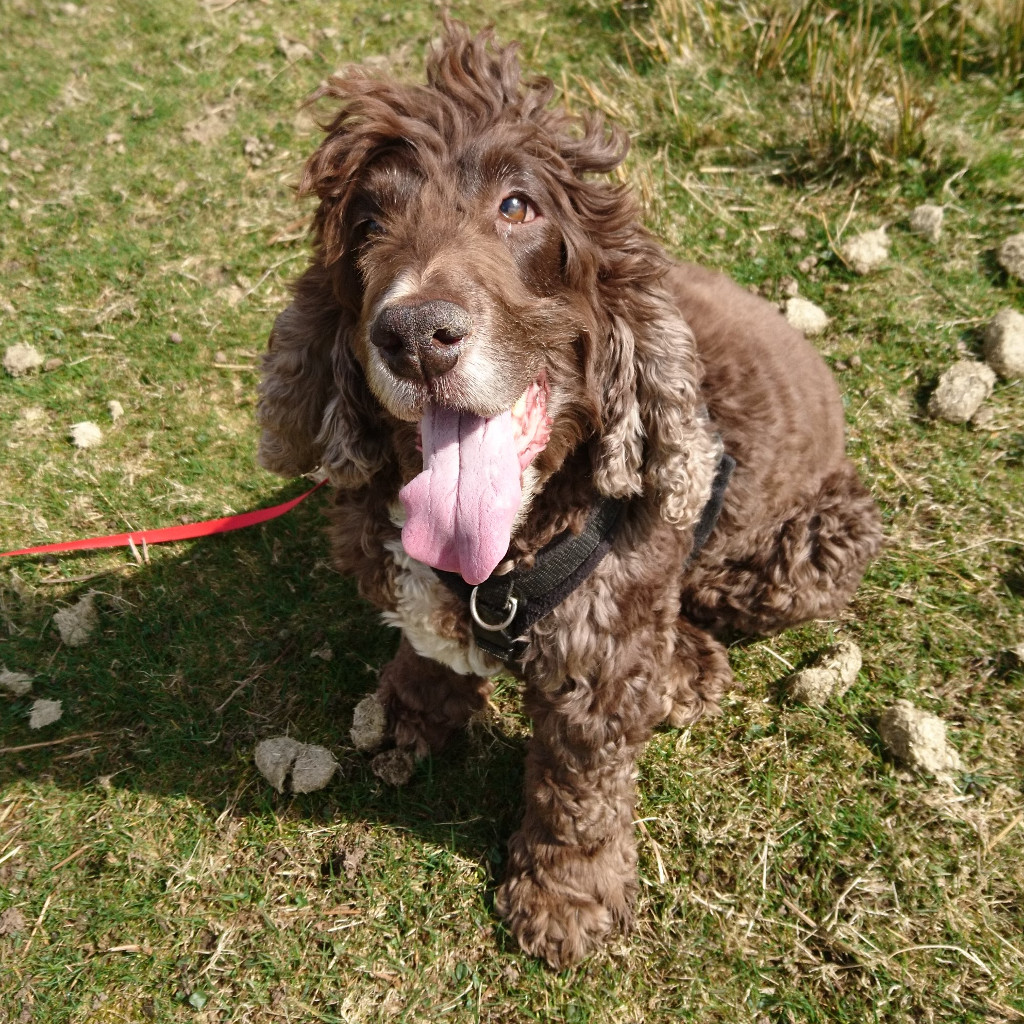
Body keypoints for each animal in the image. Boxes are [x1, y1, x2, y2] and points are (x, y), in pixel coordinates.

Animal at [253, 24, 880, 966]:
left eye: (518, 208)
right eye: (367, 224)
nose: (416, 334)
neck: (502, 558)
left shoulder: (603, 659)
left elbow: (578, 788)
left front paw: (565, 897)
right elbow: (429, 654)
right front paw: (409, 706)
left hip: (819, 540)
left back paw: (686, 667)